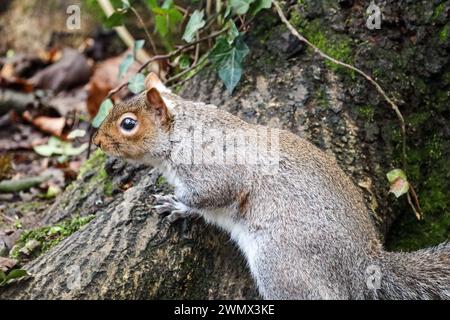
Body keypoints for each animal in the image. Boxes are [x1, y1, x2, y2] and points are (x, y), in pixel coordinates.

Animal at [92, 73, 450, 300]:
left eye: (128, 124)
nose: (96, 141)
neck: (185, 132)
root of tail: (364, 264)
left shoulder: (215, 171)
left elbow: (207, 195)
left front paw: (177, 204)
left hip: (279, 264)